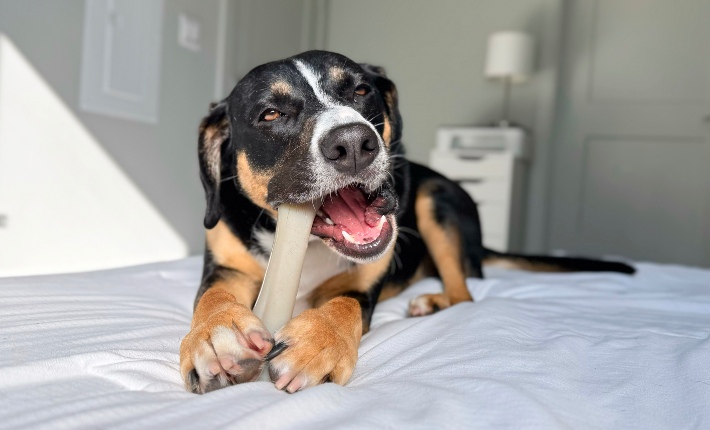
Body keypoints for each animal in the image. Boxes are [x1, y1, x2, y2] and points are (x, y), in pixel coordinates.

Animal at [179, 50, 636, 394]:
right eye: (271, 114)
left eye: (361, 90)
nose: (353, 143)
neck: (305, 244)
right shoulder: (226, 265)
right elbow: (212, 298)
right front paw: (217, 337)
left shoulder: (364, 284)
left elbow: (344, 305)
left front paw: (317, 342)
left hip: (437, 200)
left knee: (464, 293)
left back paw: (432, 302)